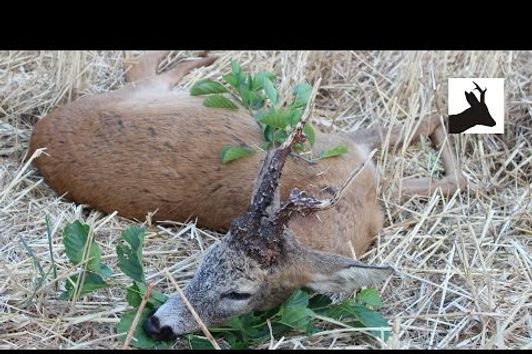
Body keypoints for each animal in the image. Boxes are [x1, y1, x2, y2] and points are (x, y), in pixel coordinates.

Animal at [28, 51, 466, 338]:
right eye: (204, 262)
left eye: (240, 293)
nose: (154, 325)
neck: (339, 211)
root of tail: (38, 134)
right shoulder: (345, 148)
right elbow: (440, 154)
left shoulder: (350, 153)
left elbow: (433, 146)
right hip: (136, 90)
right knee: (139, 65)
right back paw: (205, 58)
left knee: (142, 67)